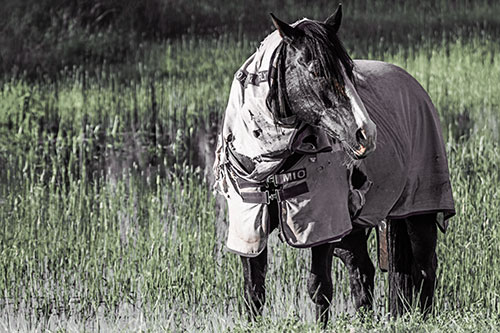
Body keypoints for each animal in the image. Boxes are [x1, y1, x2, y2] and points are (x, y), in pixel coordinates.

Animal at [213, 4, 456, 326]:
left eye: (350, 70)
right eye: (317, 70)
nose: (366, 133)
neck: (273, 162)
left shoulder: (322, 226)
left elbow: (319, 288)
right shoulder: (251, 226)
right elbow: (254, 291)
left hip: (419, 212)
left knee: (426, 267)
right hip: (353, 229)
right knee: (362, 271)